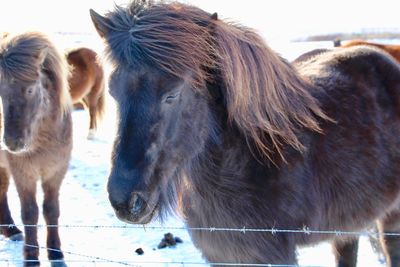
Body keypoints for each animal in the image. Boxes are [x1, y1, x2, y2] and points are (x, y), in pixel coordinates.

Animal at [0, 31, 72, 267]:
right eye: (0, 92)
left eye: (31, 89)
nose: (12, 142)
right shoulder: (24, 173)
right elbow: (30, 213)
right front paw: (31, 258)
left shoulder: (56, 171)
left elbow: (51, 210)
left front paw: (56, 254)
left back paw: (11, 230)